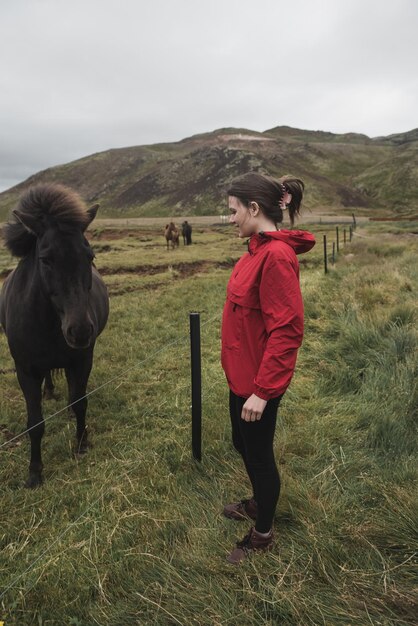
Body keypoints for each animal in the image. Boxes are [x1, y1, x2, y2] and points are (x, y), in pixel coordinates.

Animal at [0, 183, 109, 486]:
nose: (80, 330)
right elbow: (35, 423)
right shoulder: (25, 370)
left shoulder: (82, 360)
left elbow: (80, 401)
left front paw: (82, 443)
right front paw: (34, 472)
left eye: (90, 256)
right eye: (45, 259)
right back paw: (48, 391)